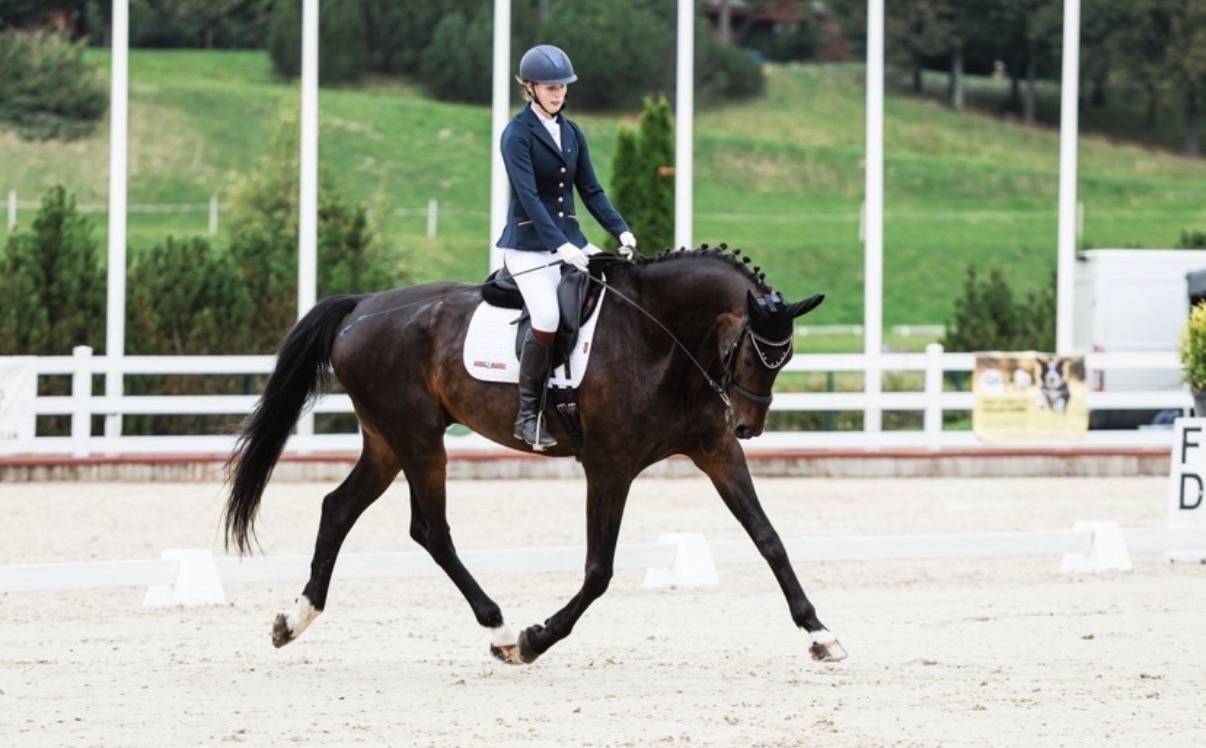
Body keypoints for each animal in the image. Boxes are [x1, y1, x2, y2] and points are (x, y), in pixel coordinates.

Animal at [222, 246, 847, 664]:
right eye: (753, 354)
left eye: (786, 359)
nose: (748, 426)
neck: (660, 336)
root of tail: (364, 306)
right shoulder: (609, 466)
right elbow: (598, 570)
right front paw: (534, 640)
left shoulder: (715, 450)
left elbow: (768, 538)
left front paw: (820, 633)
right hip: (418, 439)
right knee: (430, 530)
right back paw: (499, 630)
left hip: (386, 441)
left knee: (338, 508)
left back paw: (294, 620)